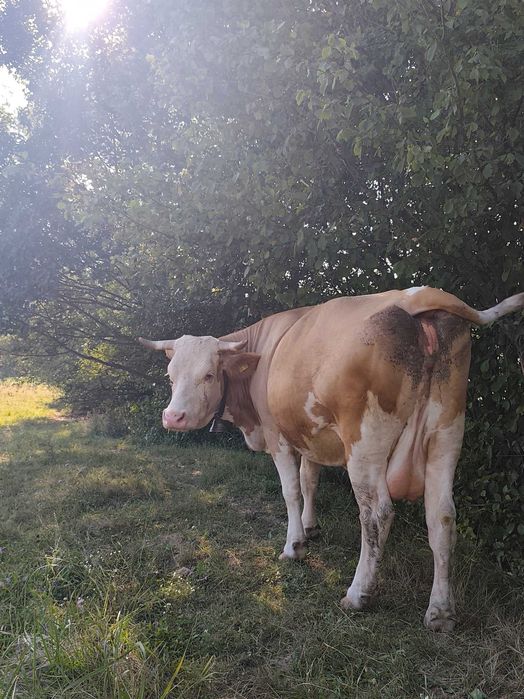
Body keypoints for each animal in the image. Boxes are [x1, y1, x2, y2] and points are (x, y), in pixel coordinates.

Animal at [139, 286, 524, 631]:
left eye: (208, 374)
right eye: (170, 375)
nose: (173, 417)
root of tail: (417, 296)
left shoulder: (279, 436)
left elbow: (292, 492)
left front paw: (294, 545)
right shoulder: (311, 435)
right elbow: (310, 481)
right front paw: (310, 527)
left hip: (365, 443)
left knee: (377, 514)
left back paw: (358, 594)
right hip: (446, 435)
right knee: (442, 518)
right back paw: (440, 613)